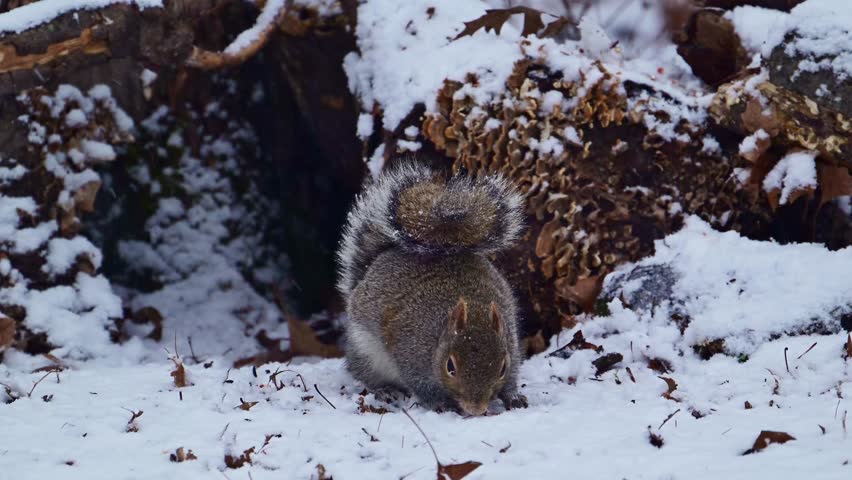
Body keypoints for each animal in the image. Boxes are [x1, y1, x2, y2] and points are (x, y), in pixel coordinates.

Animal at [336, 160, 528, 415]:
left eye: (502, 367)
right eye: (450, 366)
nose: (476, 409)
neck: (473, 308)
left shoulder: (510, 340)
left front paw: (514, 397)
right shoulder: (411, 353)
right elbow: (420, 383)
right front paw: (439, 403)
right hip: (366, 350)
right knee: (363, 373)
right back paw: (384, 390)